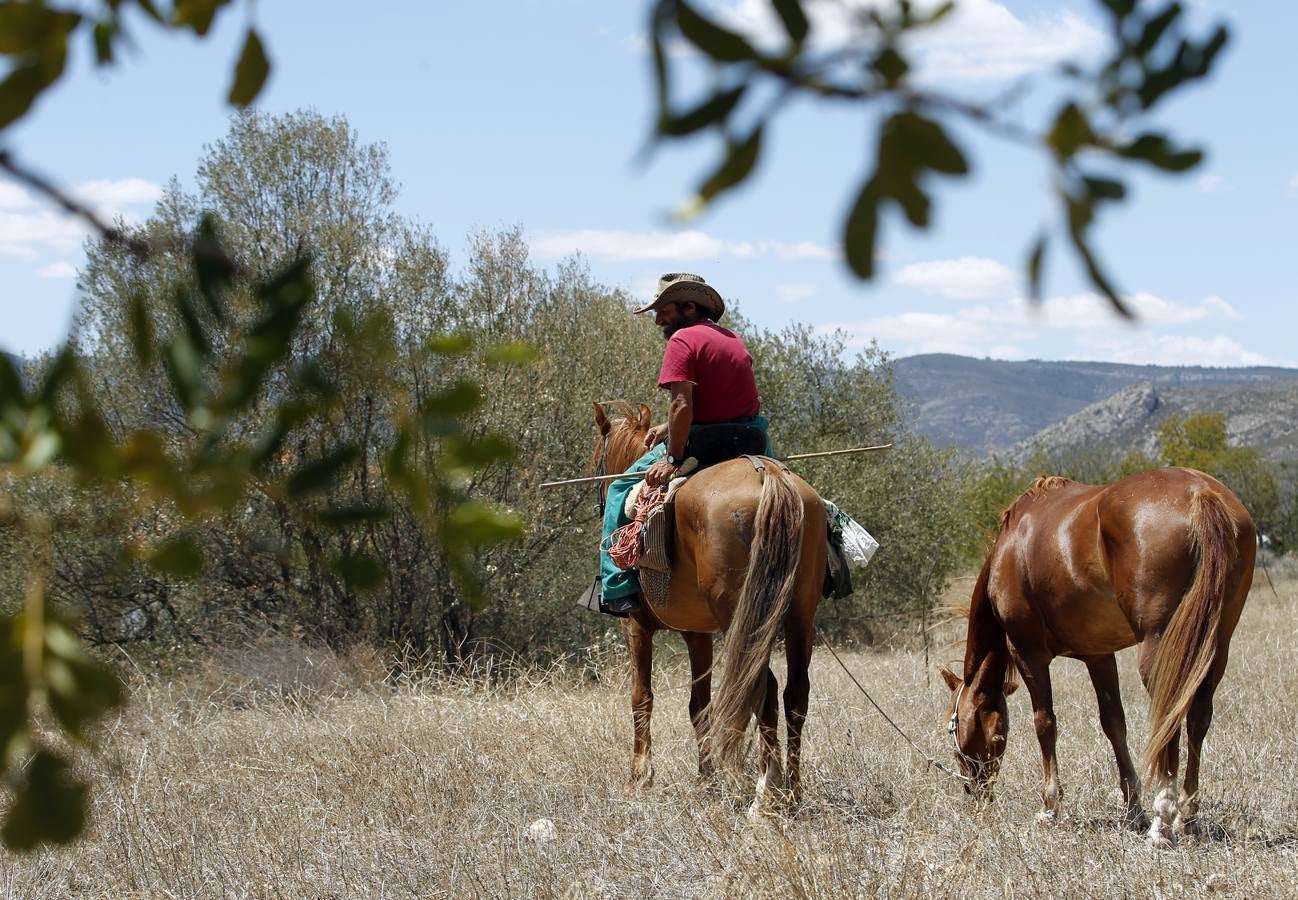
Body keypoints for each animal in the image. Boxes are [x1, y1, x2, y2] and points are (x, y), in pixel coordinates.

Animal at [594, 402, 825, 810]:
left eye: (596, 459)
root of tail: (767, 476)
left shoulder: (635, 626)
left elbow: (641, 697)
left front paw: (638, 779)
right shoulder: (697, 634)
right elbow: (699, 705)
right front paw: (705, 778)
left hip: (742, 616)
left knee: (761, 686)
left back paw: (767, 792)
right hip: (800, 613)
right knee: (795, 691)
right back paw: (793, 790)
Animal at [944, 467, 1256, 846]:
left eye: (954, 728)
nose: (974, 793)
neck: (1013, 546)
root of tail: (1201, 492)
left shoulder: (1027, 652)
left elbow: (1045, 722)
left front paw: (1050, 807)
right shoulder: (1100, 656)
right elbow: (1113, 723)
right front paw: (1132, 808)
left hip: (1161, 650)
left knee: (1170, 714)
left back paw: (1163, 821)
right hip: (1215, 645)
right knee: (1198, 715)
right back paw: (1188, 817)